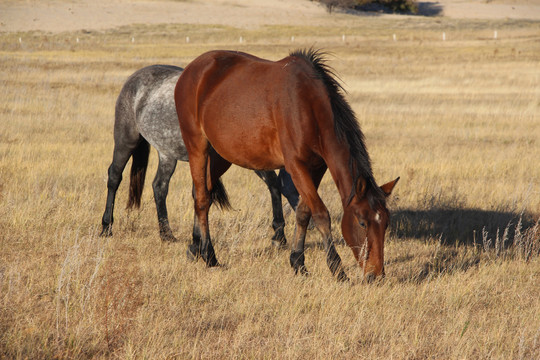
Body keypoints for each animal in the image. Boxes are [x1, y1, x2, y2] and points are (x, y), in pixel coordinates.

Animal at [100, 64, 300, 245]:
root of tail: (135, 78)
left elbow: (273, 185)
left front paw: (279, 235)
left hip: (167, 154)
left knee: (159, 187)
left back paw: (166, 234)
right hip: (126, 141)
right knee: (115, 177)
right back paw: (106, 227)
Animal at [175, 48, 398, 282]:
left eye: (385, 223)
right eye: (362, 222)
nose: (376, 274)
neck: (308, 106)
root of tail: (192, 69)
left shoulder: (317, 168)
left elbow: (303, 213)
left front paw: (298, 261)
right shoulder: (296, 166)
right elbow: (321, 214)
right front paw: (336, 268)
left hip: (221, 155)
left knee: (202, 192)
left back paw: (195, 246)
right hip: (197, 147)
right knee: (202, 198)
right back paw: (209, 255)